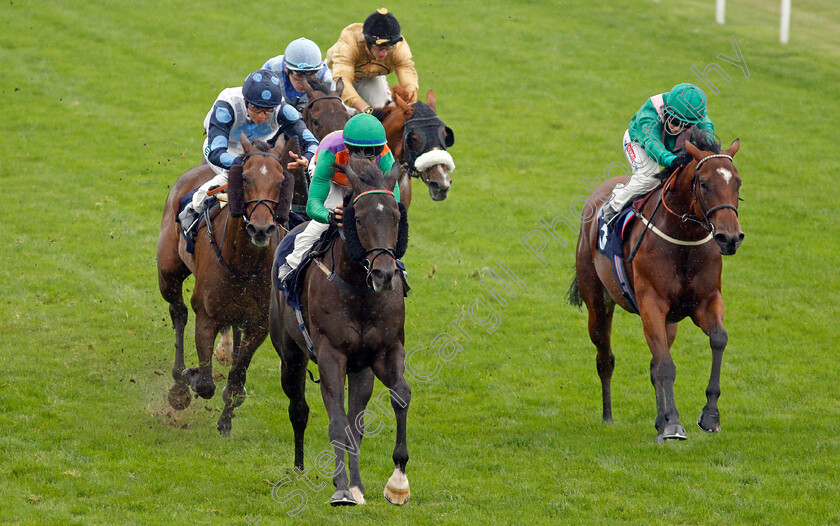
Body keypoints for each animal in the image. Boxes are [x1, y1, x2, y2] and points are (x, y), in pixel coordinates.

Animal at [158, 136, 296, 438]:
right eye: (244, 178)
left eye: (281, 180)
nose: (260, 229)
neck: (244, 264)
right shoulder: (207, 316)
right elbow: (205, 384)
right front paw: (190, 375)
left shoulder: (259, 324)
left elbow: (236, 376)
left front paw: (226, 420)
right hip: (168, 273)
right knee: (178, 313)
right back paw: (178, 385)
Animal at [270, 156, 412, 508]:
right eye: (358, 219)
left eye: (395, 216)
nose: (384, 274)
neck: (359, 289)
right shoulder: (330, 355)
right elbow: (335, 423)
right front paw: (342, 489)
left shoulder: (384, 351)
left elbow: (399, 397)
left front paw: (397, 482)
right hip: (290, 355)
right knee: (299, 408)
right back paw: (299, 467)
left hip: (360, 370)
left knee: (354, 424)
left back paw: (359, 484)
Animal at [572, 130, 740, 444]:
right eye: (704, 183)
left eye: (737, 181)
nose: (731, 238)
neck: (684, 239)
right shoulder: (652, 303)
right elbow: (665, 366)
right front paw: (673, 424)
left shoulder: (706, 301)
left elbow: (718, 339)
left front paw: (709, 416)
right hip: (597, 302)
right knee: (605, 358)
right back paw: (609, 416)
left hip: (669, 321)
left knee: (655, 361)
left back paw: (660, 421)